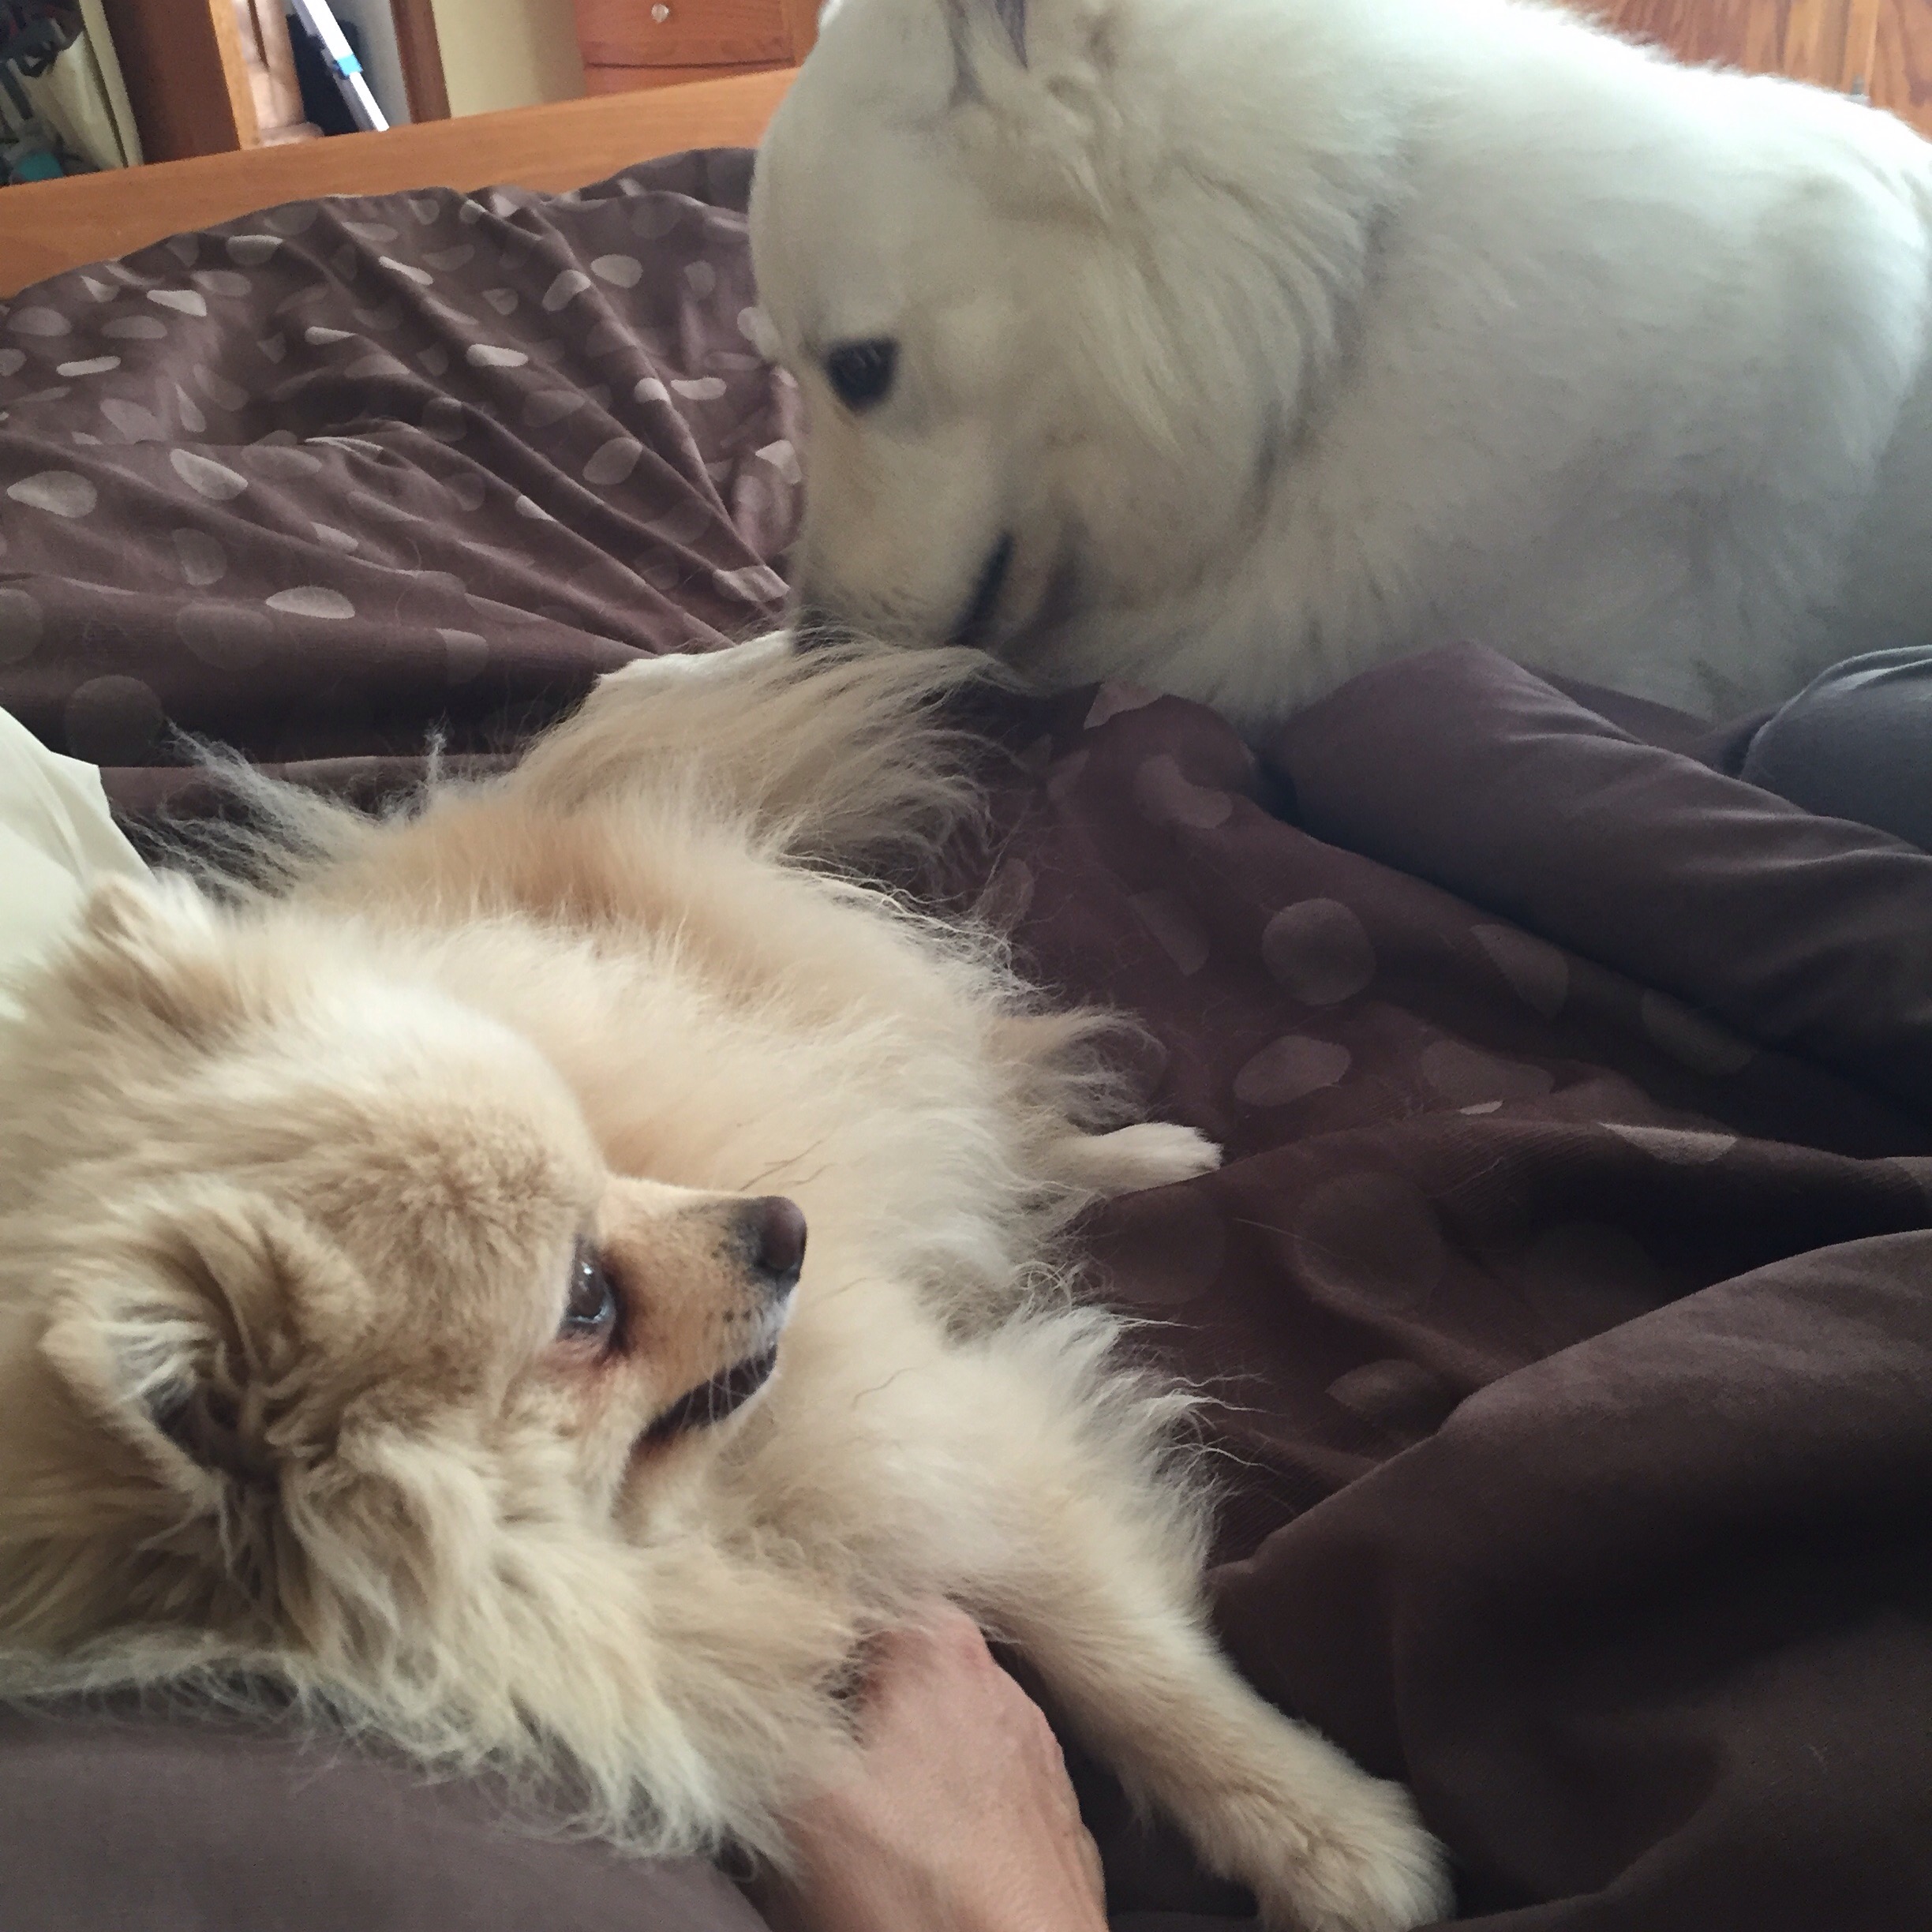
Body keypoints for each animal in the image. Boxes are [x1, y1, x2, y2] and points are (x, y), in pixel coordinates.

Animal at [0, 638, 1448, 1932]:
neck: (686, 1527)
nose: (784, 1222)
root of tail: (496, 805)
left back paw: (1144, 1157)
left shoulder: (948, 1437)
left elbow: (1126, 1657)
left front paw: (1332, 1836)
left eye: (605, 1158)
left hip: (854, 1000)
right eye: (584, 1300)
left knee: (997, 1093)